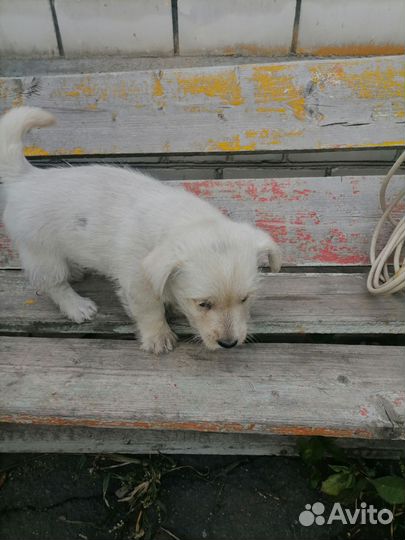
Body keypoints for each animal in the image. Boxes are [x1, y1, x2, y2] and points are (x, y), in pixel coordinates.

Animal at [0, 108, 280, 354]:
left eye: (245, 299)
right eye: (203, 304)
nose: (229, 344)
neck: (185, 220)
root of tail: (27, 178)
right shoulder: (138, 283)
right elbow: (150, 311)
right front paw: (159, 337)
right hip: (41, 253)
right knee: (54, 284)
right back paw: (76, 305)